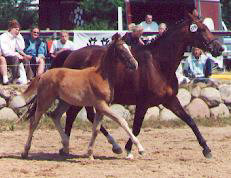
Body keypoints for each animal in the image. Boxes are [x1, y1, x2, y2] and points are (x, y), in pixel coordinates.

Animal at [10, 33, 144, 160]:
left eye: (129, 48)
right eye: (121, 49)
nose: (135, 64)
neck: (102, 76)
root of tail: (42, 75)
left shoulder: (101, 108)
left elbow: (96, 129)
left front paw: (90, 154)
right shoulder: (101, 105)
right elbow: (121, 121)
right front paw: (141, 149)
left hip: (65, 102)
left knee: (55, 115)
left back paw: (66, 145)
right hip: (44, 101)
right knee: (34, 123)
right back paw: (25, 152)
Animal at [29, 13, 223, 159]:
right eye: (202, 30)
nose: (219, 49)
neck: (158, 64)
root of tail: (71, 54)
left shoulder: (170, 100)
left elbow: (190, 121)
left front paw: (207, 150)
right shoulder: (143, 103)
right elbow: (136, 127)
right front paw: (130, 150)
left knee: (83, 117)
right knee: (72, 116)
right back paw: (72, 146)